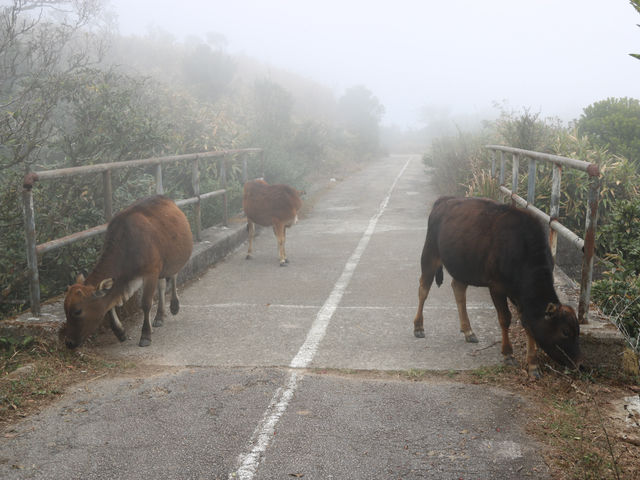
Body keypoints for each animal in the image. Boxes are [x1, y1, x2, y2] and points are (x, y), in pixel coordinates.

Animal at [61, 195, 194, 348]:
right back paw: (159, 316)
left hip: (172, 261)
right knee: (161, 286)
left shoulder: (151, 272)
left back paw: (174, 306)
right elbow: (109, 306)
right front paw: (120, 332)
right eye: (65, 310)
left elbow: (146, 303)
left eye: (77, 311)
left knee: (173, 277)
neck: (128, 246)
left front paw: (145, 335)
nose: (69, 342)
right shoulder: (123, 281)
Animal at [412, 197, 584, 376]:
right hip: (430, 254)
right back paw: (418, 326)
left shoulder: (521, 297)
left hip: (463, 265)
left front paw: (533, 365)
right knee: (423, 289)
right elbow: (505, 318)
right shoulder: (497, 287)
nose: (579, 364)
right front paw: (508, 354)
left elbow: (528, 325)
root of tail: (444, 200)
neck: (522, 249)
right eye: (565, 332)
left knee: (458, 289)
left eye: (578, 331)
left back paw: (468, 330)